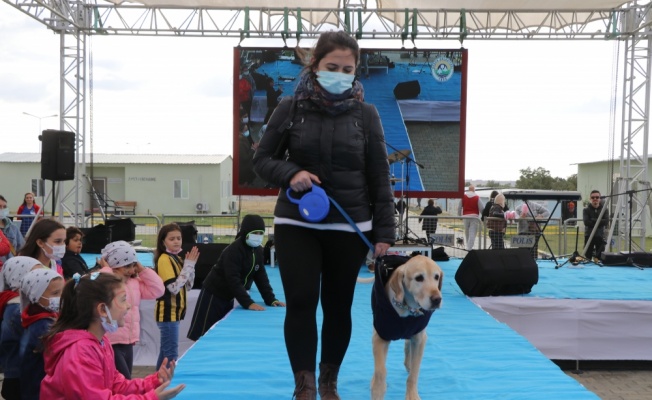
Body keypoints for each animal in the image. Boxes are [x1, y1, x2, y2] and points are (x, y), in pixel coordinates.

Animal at [370, 256, 440, 400]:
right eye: (419, 278)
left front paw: (412, 394)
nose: (437, 299)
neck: (406, 308)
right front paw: (378, 390)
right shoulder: (380, 336)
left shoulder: (420, 339)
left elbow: (414, 372)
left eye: (436, 277)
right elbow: (380, 371)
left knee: (408, 346)